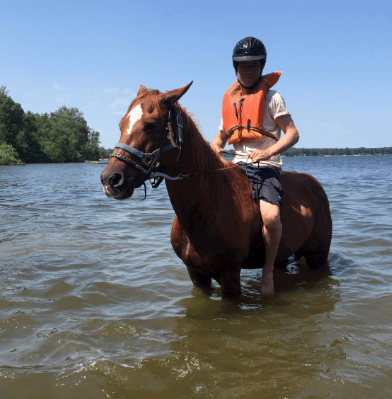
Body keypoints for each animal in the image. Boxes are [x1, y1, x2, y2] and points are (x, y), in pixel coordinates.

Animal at [100, 83, 330, 300]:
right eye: (121, 124)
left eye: (151, 124)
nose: (110, 179)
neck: (208, 204)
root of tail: (314, 184)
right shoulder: (196, 275)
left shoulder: (230, 278)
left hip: (318, 256)